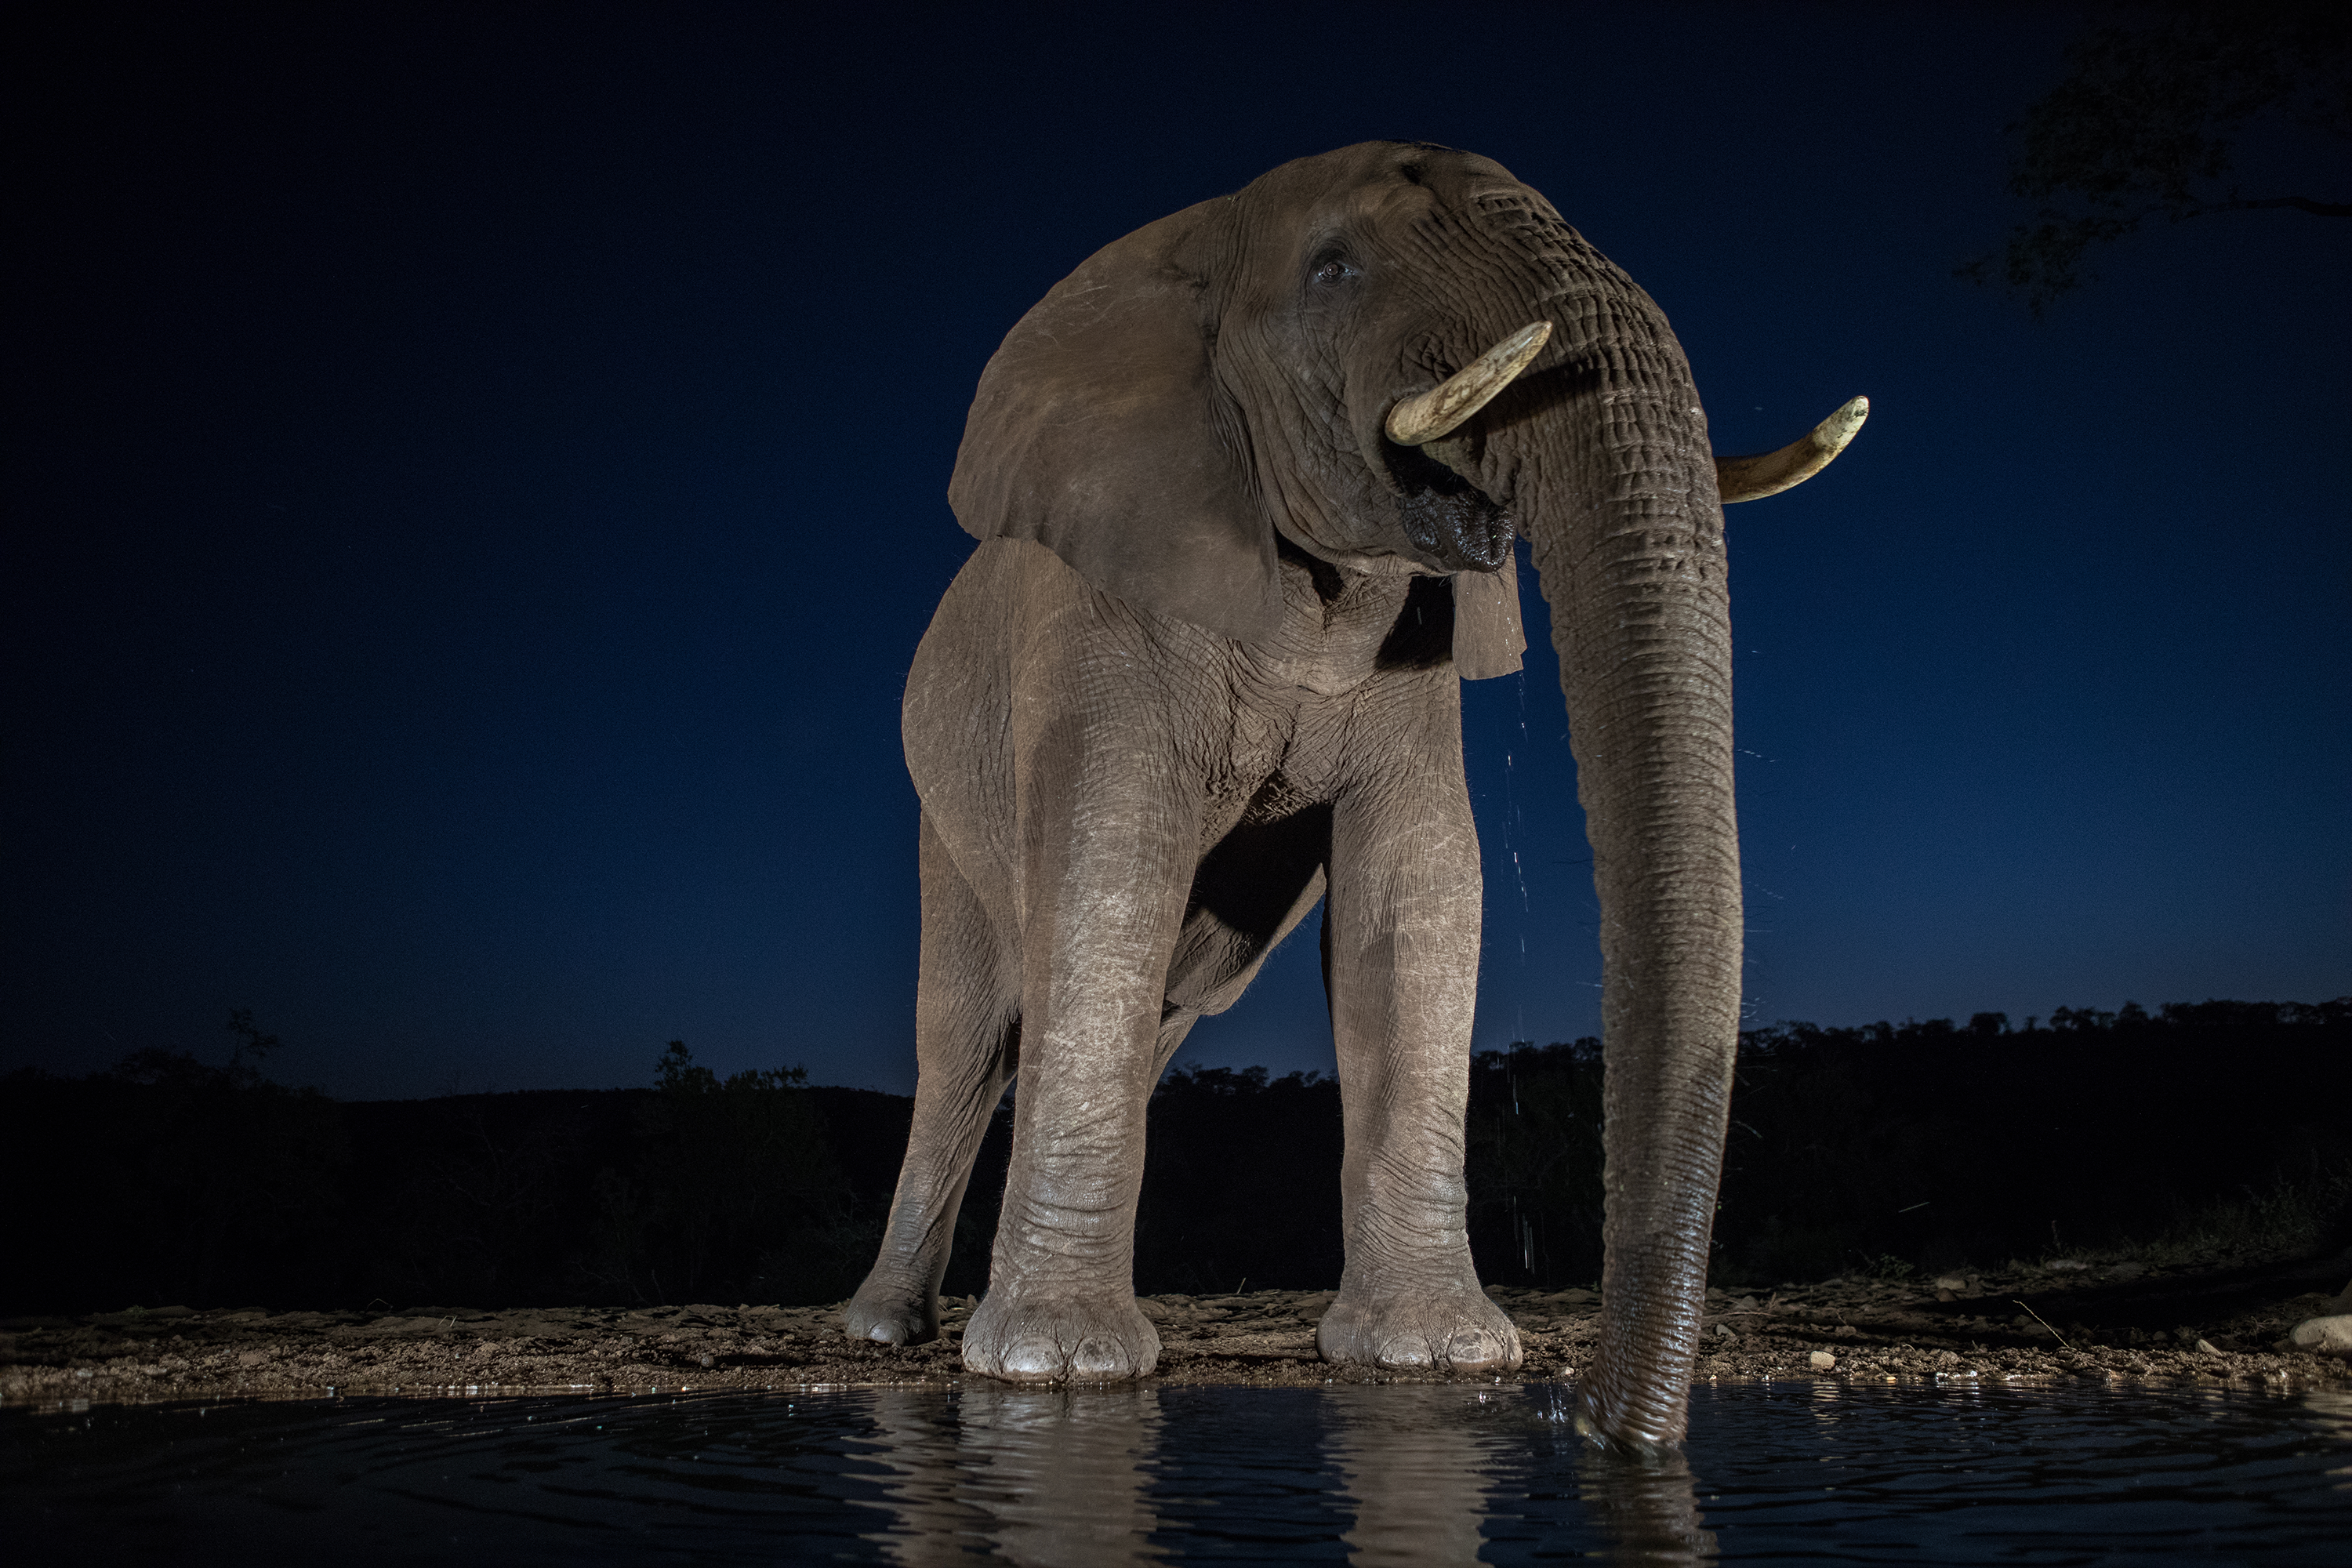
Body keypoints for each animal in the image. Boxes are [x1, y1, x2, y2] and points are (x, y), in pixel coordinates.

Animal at [843, 141, 1863, 1449]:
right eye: (1333, 269)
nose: (1589, 1416)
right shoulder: (1099, 612)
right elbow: (1109, 867)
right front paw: (1054, 1372)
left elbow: (1415, 893)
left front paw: (1438, 1357)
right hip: (941, 809)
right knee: (966, 1034)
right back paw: (889, 1332)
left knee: (1152, 1012)